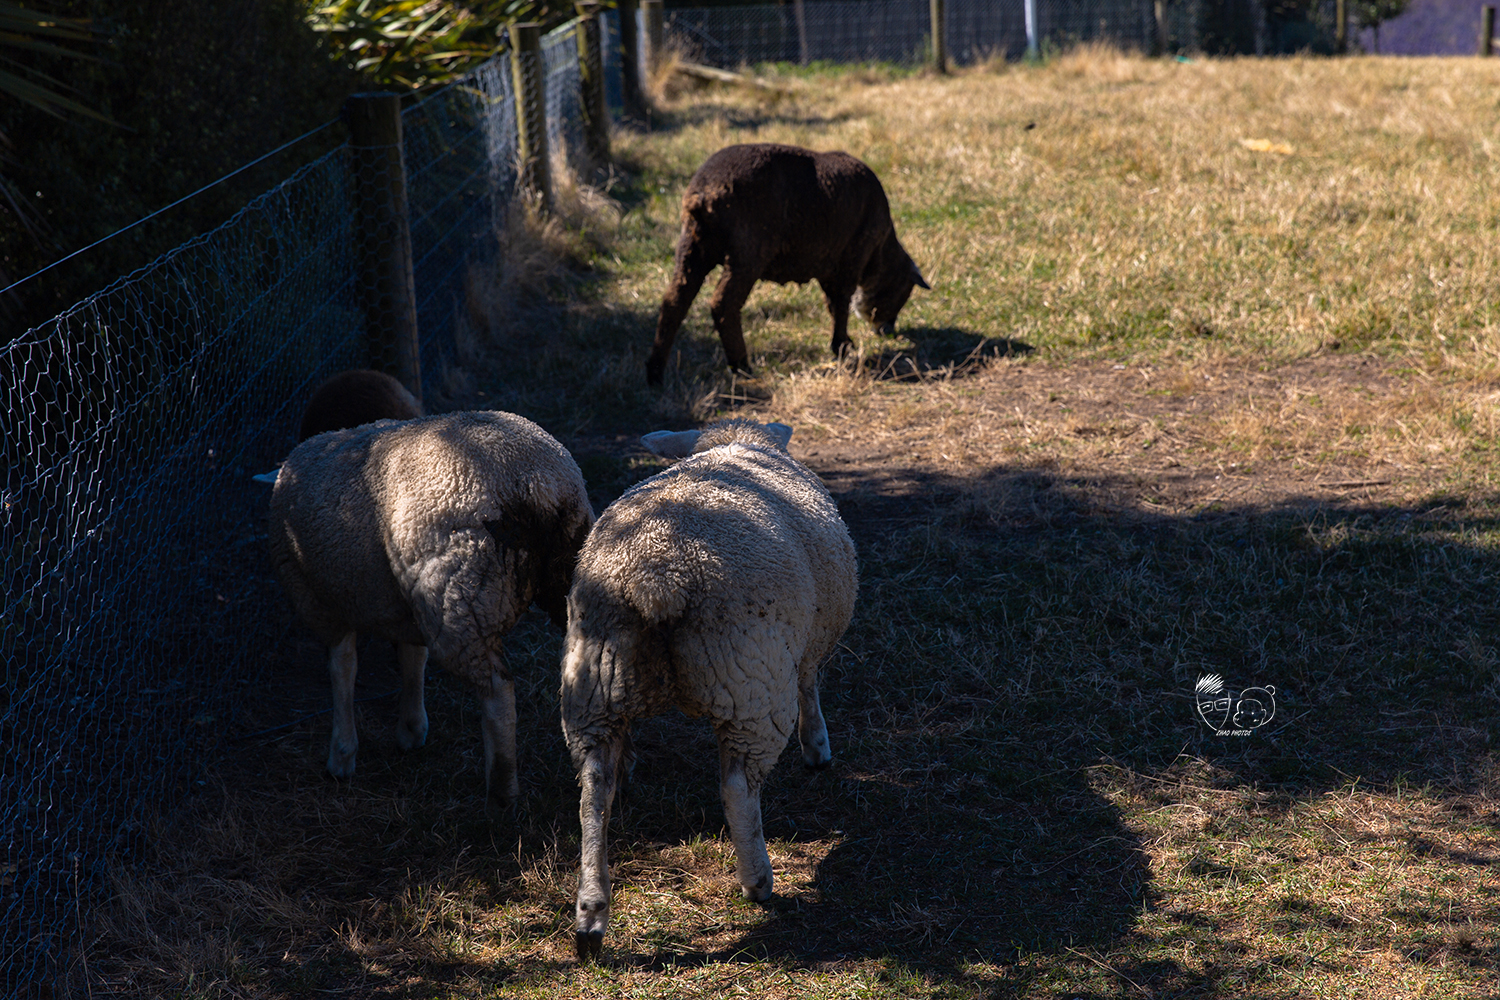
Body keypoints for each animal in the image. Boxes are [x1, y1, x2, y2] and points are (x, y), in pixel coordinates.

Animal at [267, 410, 594, 815]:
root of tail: (536, 481)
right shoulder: (404, 603)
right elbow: (412, 659)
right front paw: (411, 729)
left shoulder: (319, 600)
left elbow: (342, 668)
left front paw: (341, 756)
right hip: (535, 578)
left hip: (457, 597)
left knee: (498, 691)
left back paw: (501, 791)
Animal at [558, 419, 858, 959]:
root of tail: (659, 576)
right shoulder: (805, 647)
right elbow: (811, 686)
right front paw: (818, 747)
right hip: (752, 685)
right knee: (738, 788)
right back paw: (758, 881)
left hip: (593, 686)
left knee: (594, 792)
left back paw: (591, 917)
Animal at [645, 142, 924, 386]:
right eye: (903, 292)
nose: (888, 331)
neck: (881, 251)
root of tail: (702, 195)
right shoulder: (851, 258)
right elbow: (842, 304)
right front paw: (843, 347)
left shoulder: (827, 266)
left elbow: (833, 305)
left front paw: (842, 343)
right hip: (746, 253)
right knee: (723, 305)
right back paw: (742, 366)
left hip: (692, 248)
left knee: (673, 302)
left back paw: (655, 374)